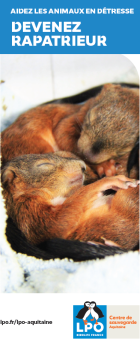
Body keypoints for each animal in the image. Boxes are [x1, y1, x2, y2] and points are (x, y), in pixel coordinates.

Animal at [1, 84, 138, 179]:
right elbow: (63, 134)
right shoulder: (71, 118)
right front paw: (104, 166)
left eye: (125, 149)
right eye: (89, 117)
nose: (88, 155)